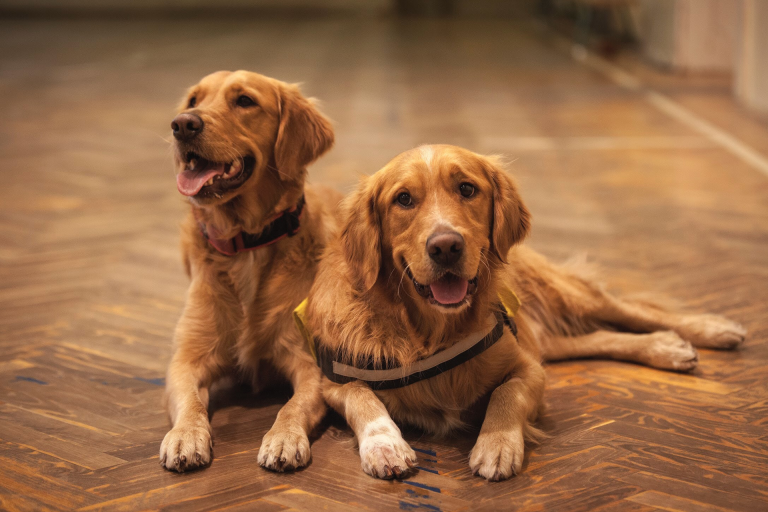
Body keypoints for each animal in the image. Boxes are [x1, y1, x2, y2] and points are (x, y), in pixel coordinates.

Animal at [160, 71, 340, 472]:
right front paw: (185, 436)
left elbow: (292, 406)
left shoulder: (309, 364)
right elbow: (189, 402)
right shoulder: (186, 360)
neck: (246, 244)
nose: (182, 124)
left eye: (244, 101)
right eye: (193, 100)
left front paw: (284, 438)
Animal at [296, 143, 744, 480]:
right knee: (600, 336)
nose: (446, 246)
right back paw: (666, 347)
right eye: (403, 199)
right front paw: (385, 445)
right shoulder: (334, 379)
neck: (431, 331)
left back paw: (703, 330)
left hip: (562, 293)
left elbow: (505, 393)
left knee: (629, 310)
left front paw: (497, 444)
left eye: (467, 189)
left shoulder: (528, 367)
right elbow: (363, 399)